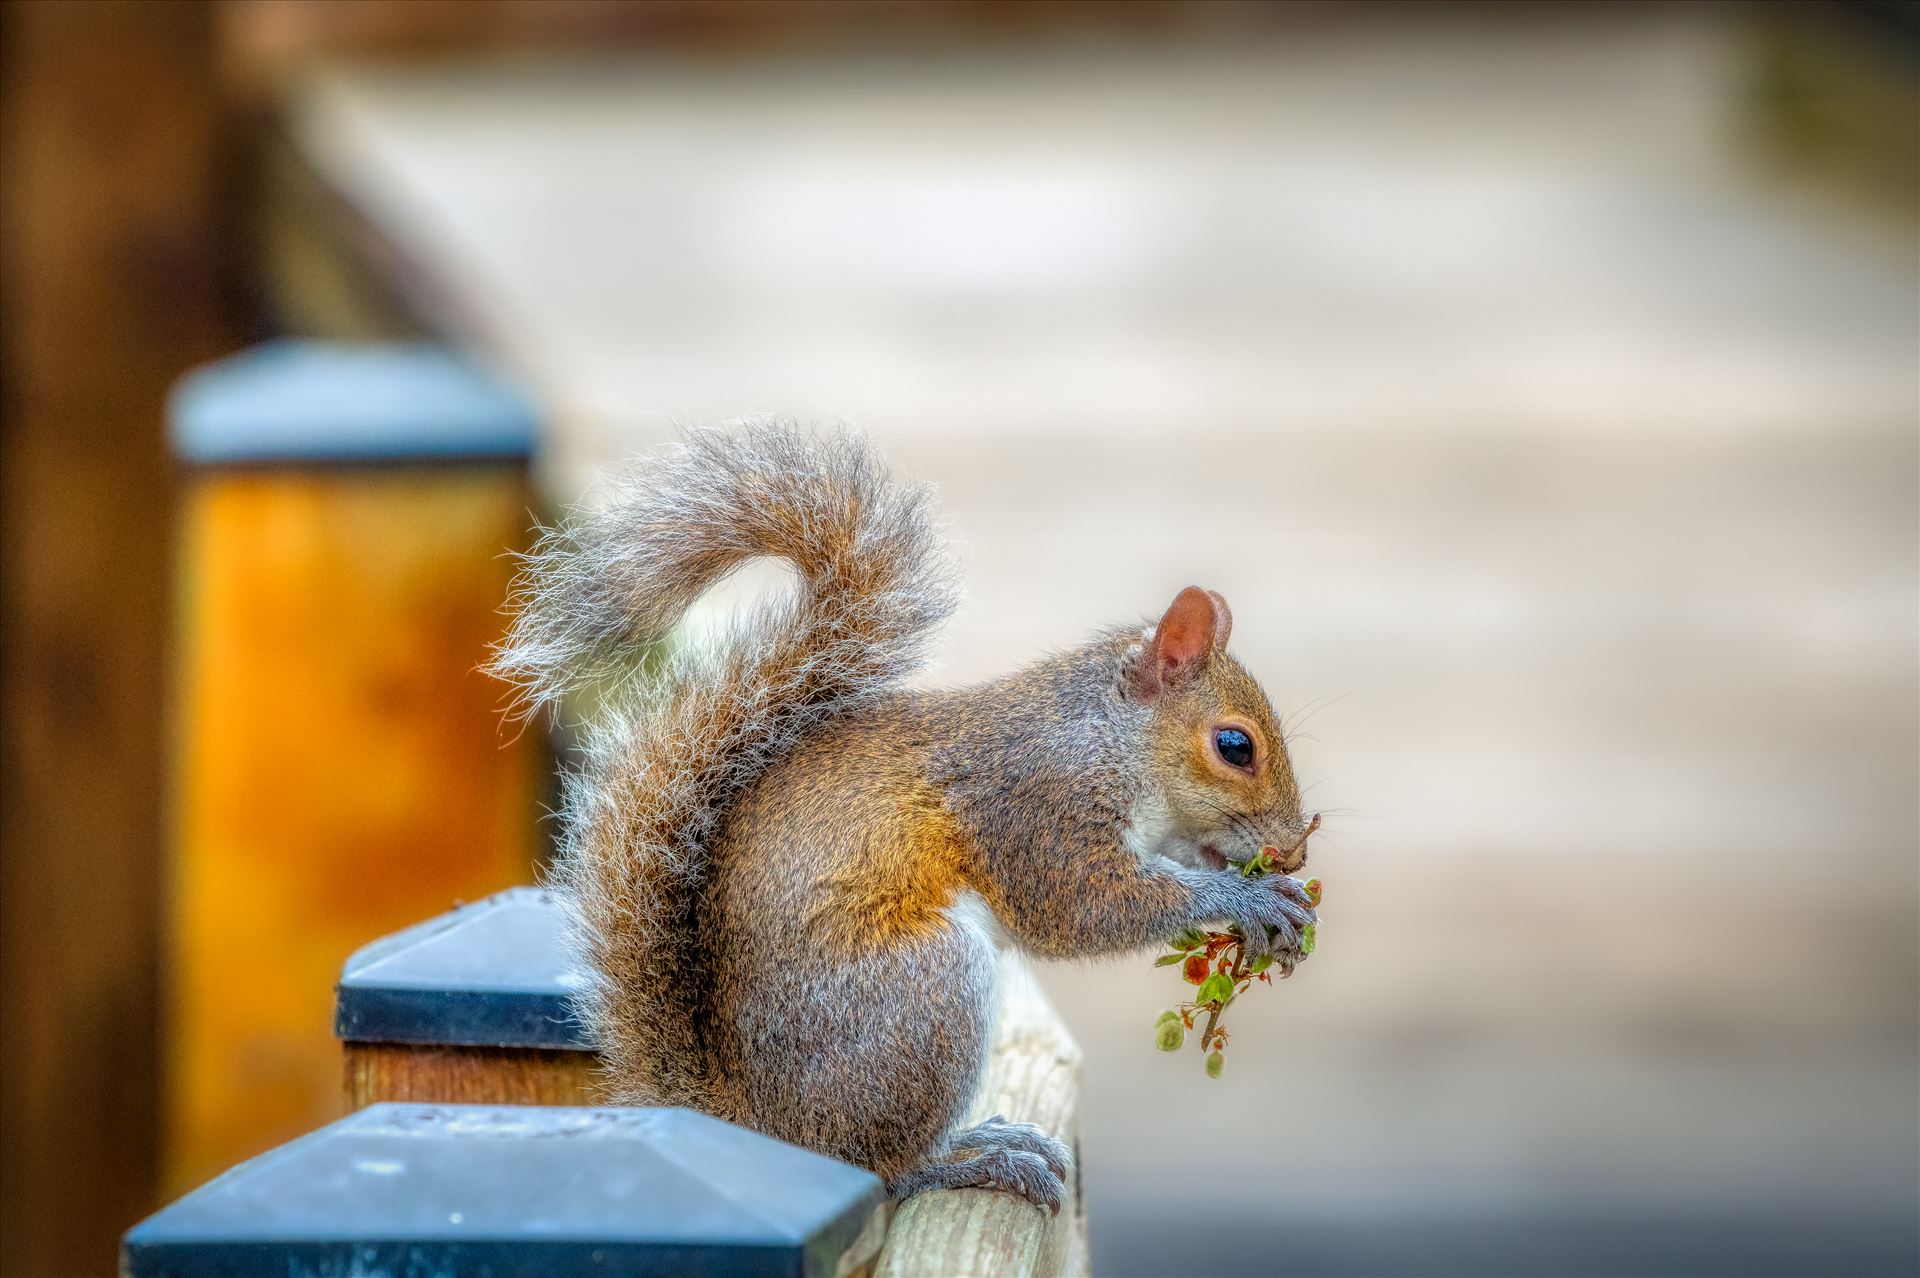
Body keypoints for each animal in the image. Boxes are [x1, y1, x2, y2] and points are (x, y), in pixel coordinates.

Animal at [491, 422, 1320, 1212]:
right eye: (1235, 746)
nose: (1291, 850)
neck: (1109, 739)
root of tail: (756, 1123)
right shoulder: (1034, 807)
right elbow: (1083, 907)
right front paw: (1243, 896)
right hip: (926, 993)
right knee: (884, 1168)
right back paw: (974, 1158)